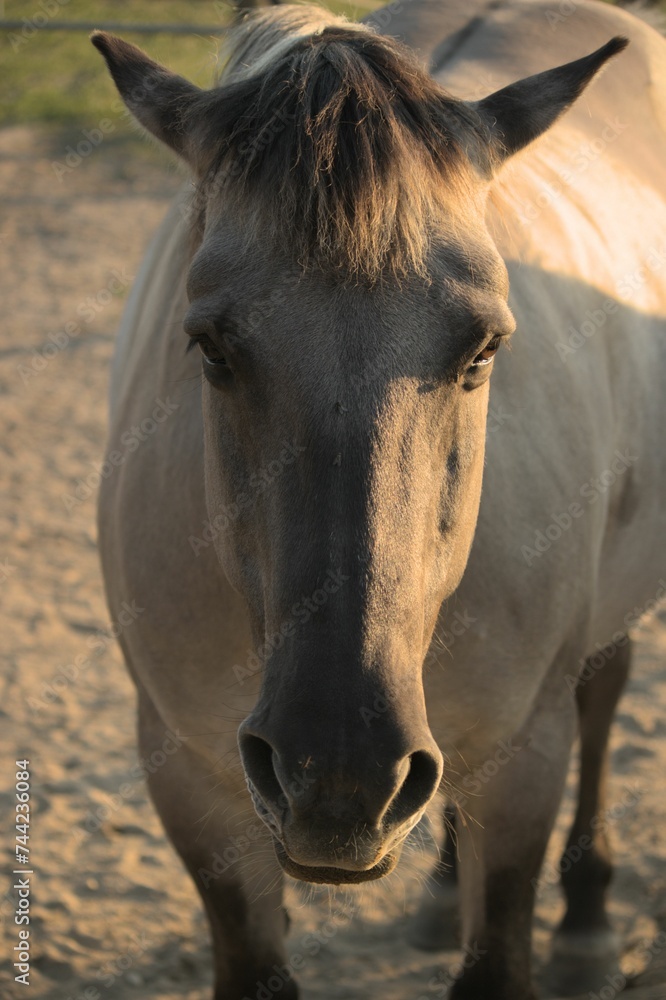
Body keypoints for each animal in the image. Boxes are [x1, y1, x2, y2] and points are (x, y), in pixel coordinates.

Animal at [92, 1, 666, 997]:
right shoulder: (191, 784)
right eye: (210, 347)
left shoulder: (524, 761)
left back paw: (588, 921)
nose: (341, 774)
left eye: (484, 349)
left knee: (603, 691)